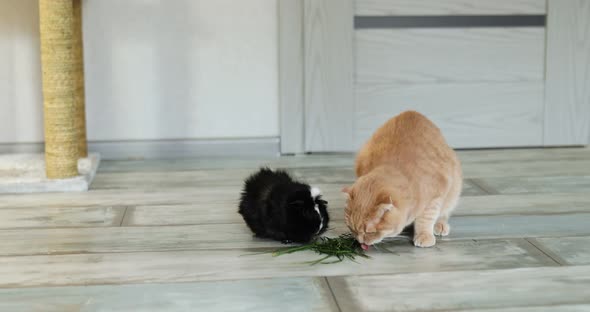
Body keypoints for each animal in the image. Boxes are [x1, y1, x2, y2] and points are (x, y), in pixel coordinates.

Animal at [344, 111, 464, 247]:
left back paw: (440, 224)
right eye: (352, 229)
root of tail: (412, 112)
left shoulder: (437, 194)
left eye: (370, 232)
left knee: (444, 212)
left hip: (454, 189)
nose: (360, 241)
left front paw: (424, 235)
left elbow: (427, 217)